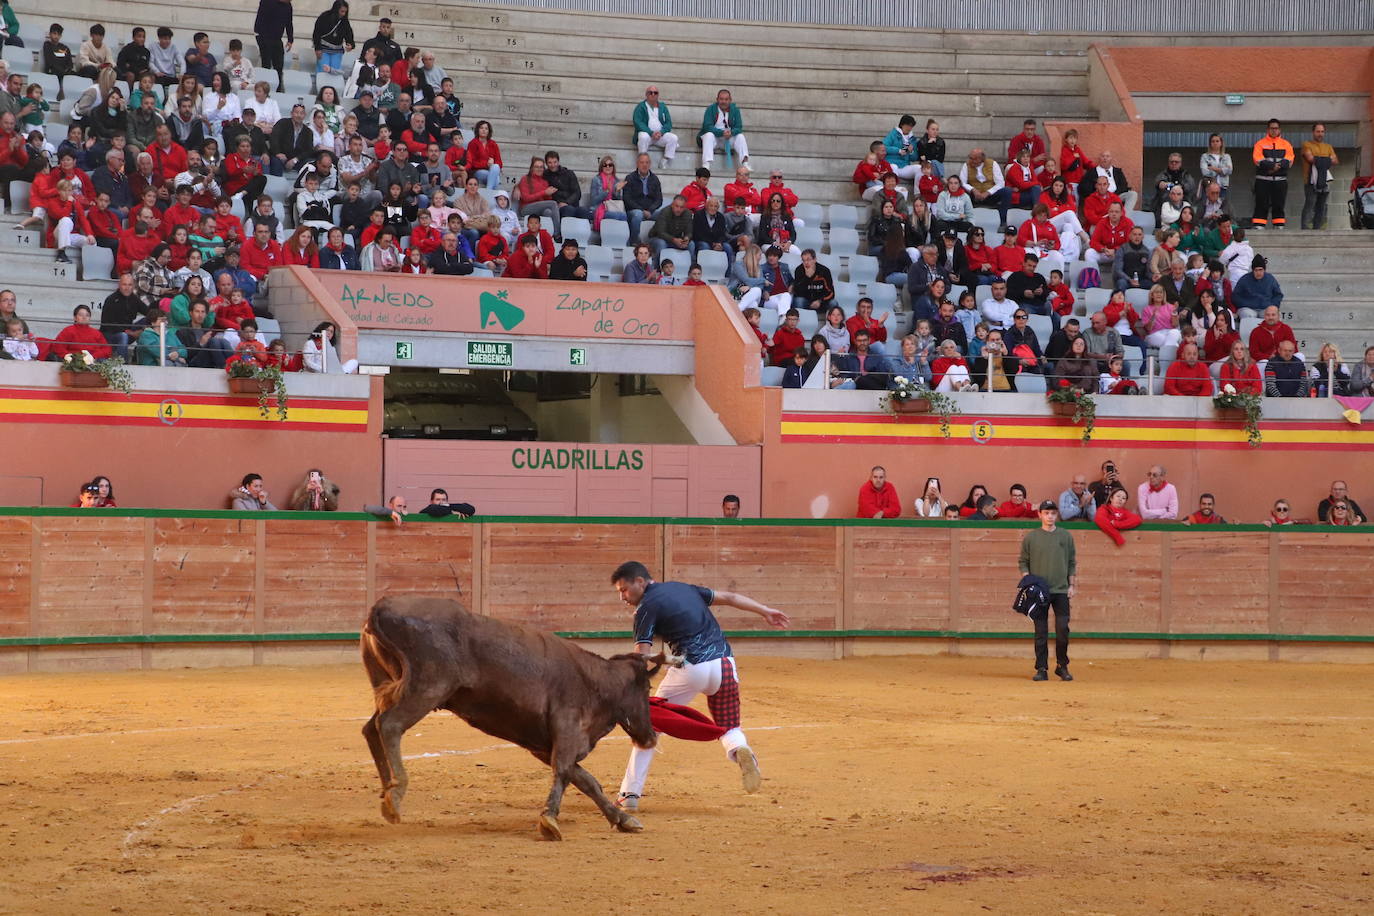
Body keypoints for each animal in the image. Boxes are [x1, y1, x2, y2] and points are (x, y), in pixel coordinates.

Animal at [359, 598, 659, 840]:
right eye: (647, 688)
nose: (651, 737)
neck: (597, 680)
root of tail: (379, 608)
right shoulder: (567, 730)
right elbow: (565, 772)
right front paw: (549, 820)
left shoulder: (544, 746)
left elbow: (586, 781)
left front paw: (623, 819)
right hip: (427, 688)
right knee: (390, 725)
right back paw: (396, 791)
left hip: (391, 685)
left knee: (371, 729)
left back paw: (387, 790)